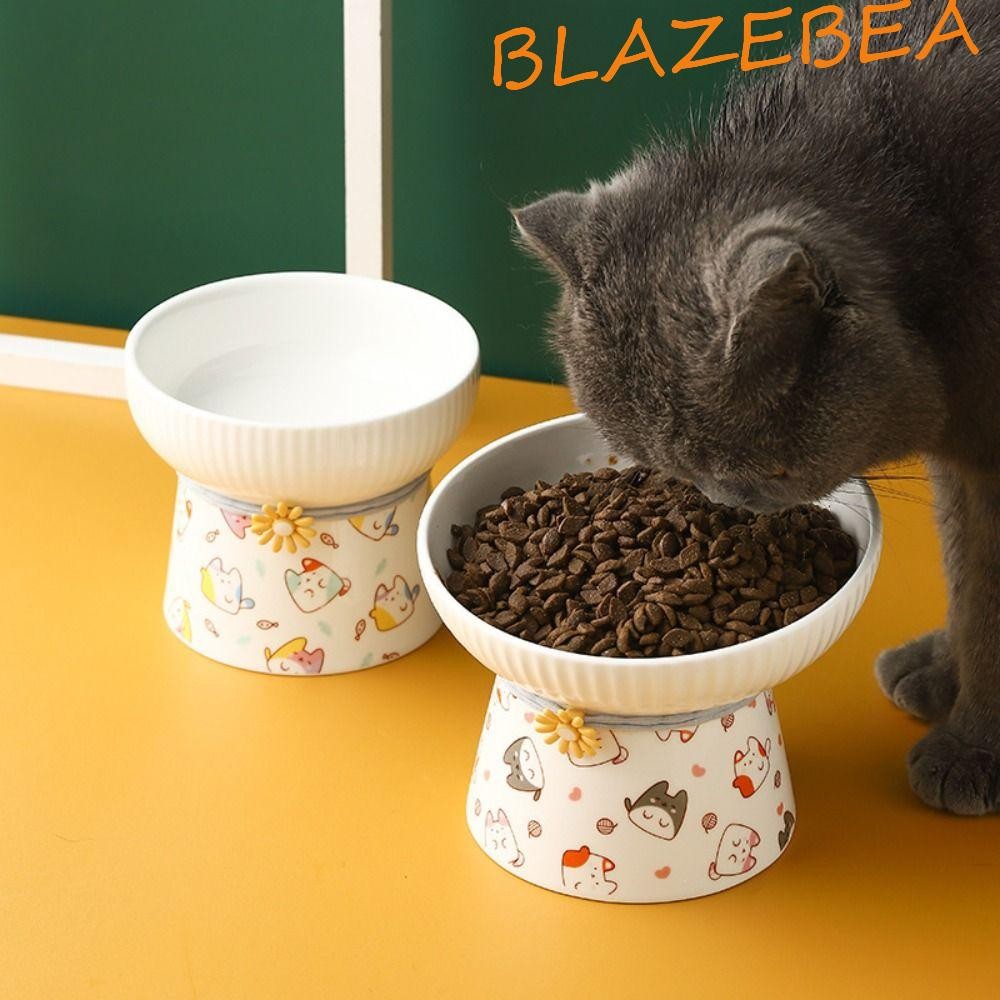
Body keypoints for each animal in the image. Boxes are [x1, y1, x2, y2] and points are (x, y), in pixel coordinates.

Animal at [513, 2, 1000, 815]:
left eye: (766, 470)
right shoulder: (962, 463)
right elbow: (968, 575)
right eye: (664, 468)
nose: (725, 504)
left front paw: (971, 749)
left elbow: (988, 592)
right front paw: (947, 675)